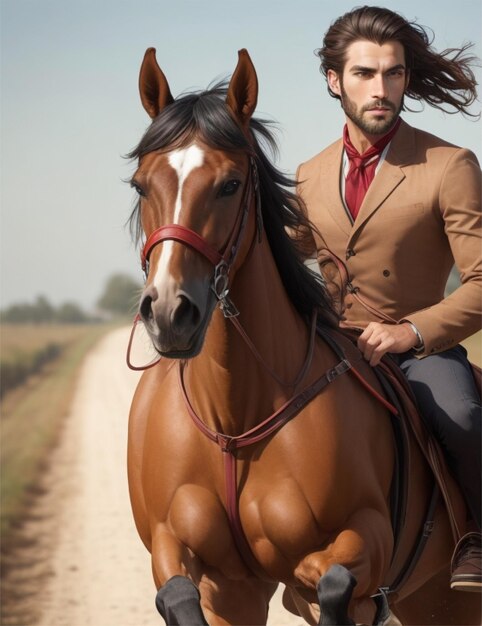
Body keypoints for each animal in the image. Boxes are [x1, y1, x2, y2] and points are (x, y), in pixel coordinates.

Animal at [126, 46, 480, 620]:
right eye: (141, 184)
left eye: (230, 184)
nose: (169, 312)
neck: (235, 416)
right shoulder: (214, 576)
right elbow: (177, 593)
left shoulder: (363, 539)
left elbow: (330, 582)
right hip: (431, 599)